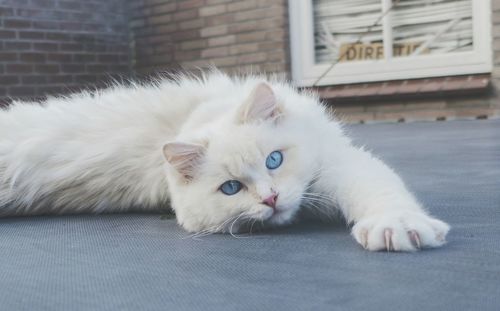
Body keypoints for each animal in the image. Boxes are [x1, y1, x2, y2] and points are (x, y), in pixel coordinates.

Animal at [0, 72, 450, 252]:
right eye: (232, 188)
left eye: (274, 160)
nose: (270, 200)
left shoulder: (337, 164)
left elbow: (378, 193)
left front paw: (396, 227)